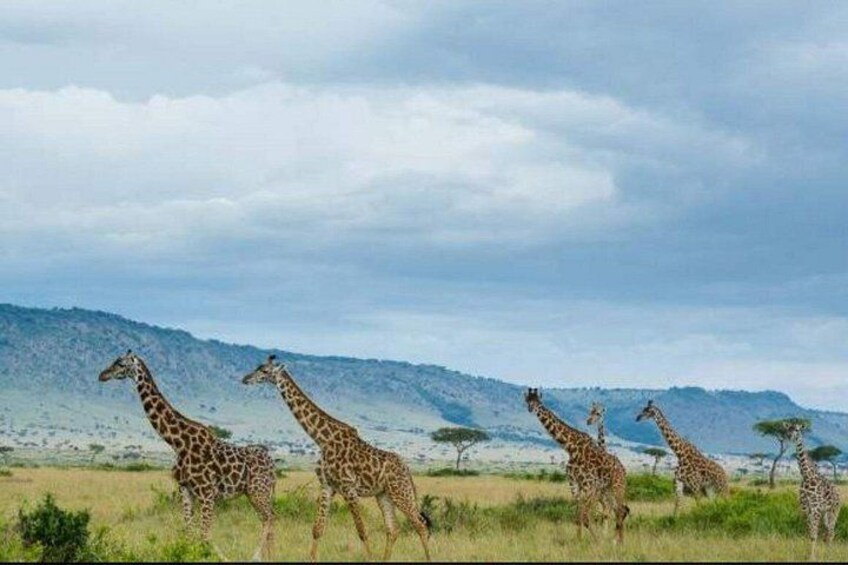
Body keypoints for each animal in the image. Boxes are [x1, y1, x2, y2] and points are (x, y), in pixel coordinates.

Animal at [99, 351, 276, 561]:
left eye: (120, 363)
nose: (102, 375)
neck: (178, 443)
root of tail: (273, 465)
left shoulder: (207, 493)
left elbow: (204, 534)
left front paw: (219, 557)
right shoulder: (185, 489)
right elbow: (189, 531)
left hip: (258, 491)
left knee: (270, 518)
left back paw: (257, 556)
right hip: (255, 492)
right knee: (268, 519)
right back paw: (271, 556)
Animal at [241, 355, 431, 562]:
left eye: (265, 371)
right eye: (257, 367)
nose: (245, 379)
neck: (323, 439)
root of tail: (407, 469)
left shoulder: (349, 488)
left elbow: (362, 531)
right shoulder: (327, 486)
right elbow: (317, 529)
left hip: (400, 491)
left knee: (420, 525)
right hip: (384, 494)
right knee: (393, 529)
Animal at [525, 388, 629, 543]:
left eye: (538, 401)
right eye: (528, 400)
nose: (531, 408)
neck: (571, 447)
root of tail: (623, 468)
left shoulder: (589, 486)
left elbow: (586, 517)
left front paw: (598, 541)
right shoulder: (574, 484)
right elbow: (578, 516)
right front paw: (579, 540)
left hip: (618, 486)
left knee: (620, 511)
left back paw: (618, 542)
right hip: (607, 490)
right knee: (617, 511)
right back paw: (616, 540)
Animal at [784, 421, 841, 560]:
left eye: (797, 430)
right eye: (788, 429)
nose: (790, 436)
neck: (806, 476)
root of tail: (839, 494)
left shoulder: (816, 508)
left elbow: (814, 534)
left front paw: (812, 557)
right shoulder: (806, 508)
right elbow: (810, 533)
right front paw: (808, 555)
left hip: (834, 511)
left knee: (831, 531)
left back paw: (830, 555)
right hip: (826, 513)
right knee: (828, 533)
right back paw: (827, 553)